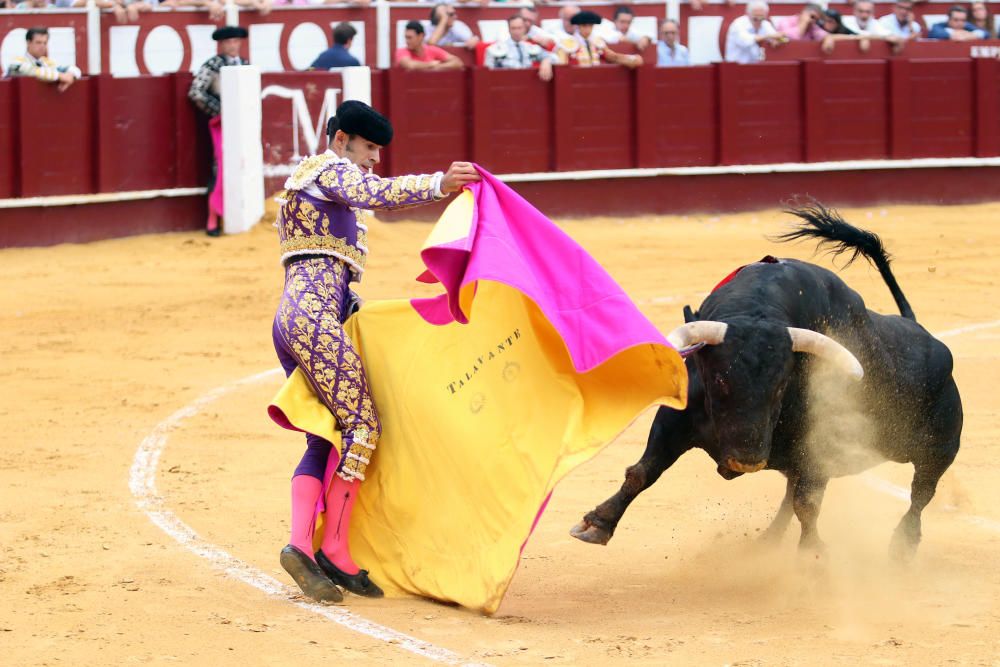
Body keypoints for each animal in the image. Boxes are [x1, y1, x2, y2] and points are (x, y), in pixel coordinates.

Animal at [576, 206, 964, 560]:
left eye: (781, 384)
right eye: (719, 380)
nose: (745, 461)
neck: (756, 310)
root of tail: (922, 332)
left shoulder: (818, 447)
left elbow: (808, 503)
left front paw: (813, 558)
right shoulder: (675, 420)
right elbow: (642, 472)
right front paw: (597, 523)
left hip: (939, 447)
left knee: (921, 492)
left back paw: (902, 547)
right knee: (791, 498)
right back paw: (768, 542)